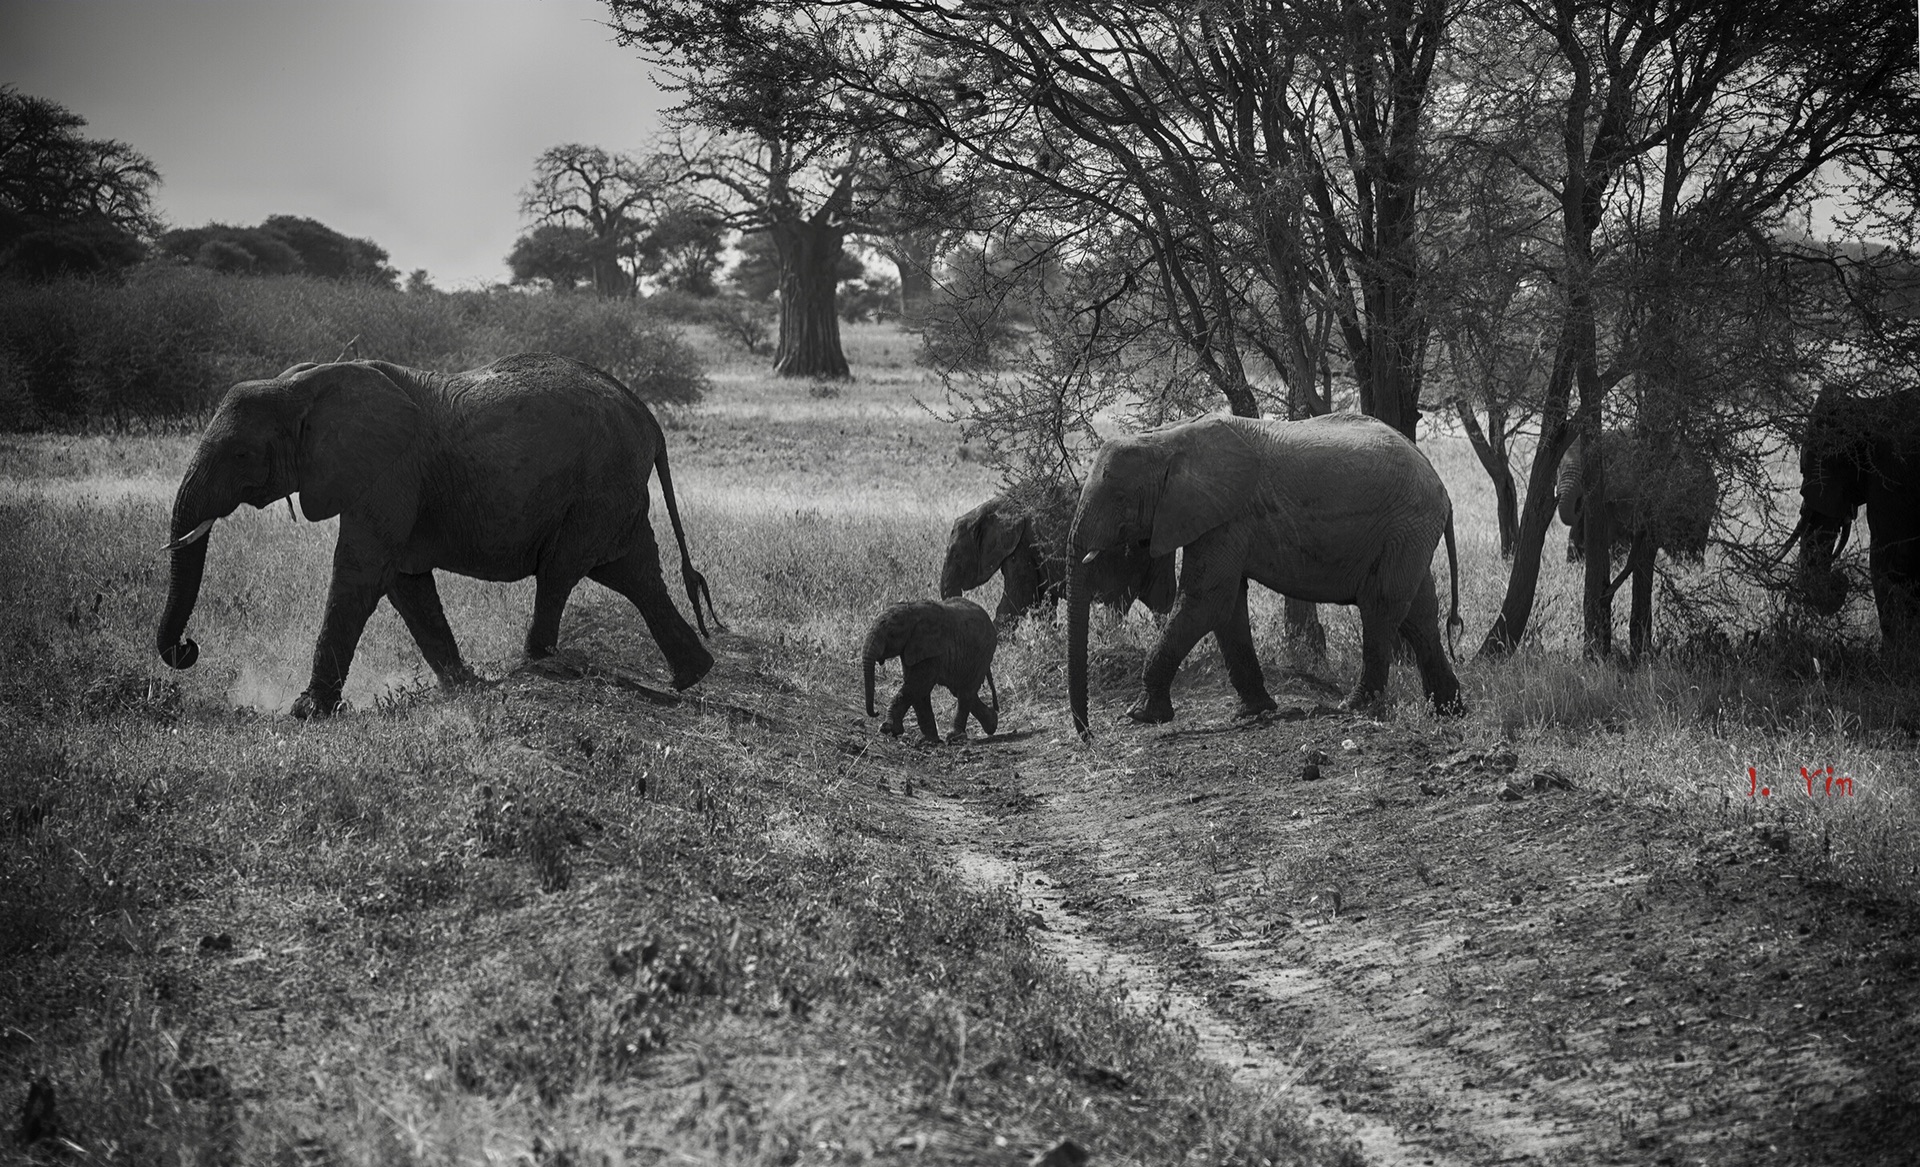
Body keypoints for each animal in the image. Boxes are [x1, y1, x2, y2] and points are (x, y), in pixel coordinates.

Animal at [153, 351, 721, 714]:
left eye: (241, 455)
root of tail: (647, 414)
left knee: (561, 571)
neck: (302, 384)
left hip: (599, 484)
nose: (189, 647)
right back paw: (691, 675)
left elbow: (361, 572)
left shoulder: (390, 470)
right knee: (635, 573)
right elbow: (405, 584)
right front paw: (467, 689)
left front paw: (307, 712)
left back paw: (537, 664)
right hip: (613, 489)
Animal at [864, 598, 998, 744]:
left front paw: (887, 728)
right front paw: (928, 740)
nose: (876, 712)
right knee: (960, 690)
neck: (911, 611)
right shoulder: (913, 649)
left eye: (891, 634)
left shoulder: (931, 649)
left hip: (983, 653)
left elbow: (918, 685)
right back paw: (992, 723)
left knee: (965, 692)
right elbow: (918, 691)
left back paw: (955, 737)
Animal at [936, 476, 1175, 629]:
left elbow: (1020, 598)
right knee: (1161, 603)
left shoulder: (1022, 545)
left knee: (1120, 604)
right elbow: (1042, 601)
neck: (993, 505)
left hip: (1128, 559)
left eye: (956, 555)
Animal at [1067, 412, 1451, 737]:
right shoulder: (1217, 516)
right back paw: (1449, 710)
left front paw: (1142, 715)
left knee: (1380, 608)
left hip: (1405, 524)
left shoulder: (1226, 515)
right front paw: (1253, 711)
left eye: (1119, 497)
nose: (1088, 736)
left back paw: (1355, 707)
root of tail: (1438, 481)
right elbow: (1226, 607)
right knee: (1420, 616)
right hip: (1410, 533)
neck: (1167, 438)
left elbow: (1205, 601)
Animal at [1781, 383, 1920, 656]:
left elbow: (1889, 560)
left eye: (1803, 468)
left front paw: (1893, 657)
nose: (1839, 579)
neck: (1870, 405)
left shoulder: (1891, 479)